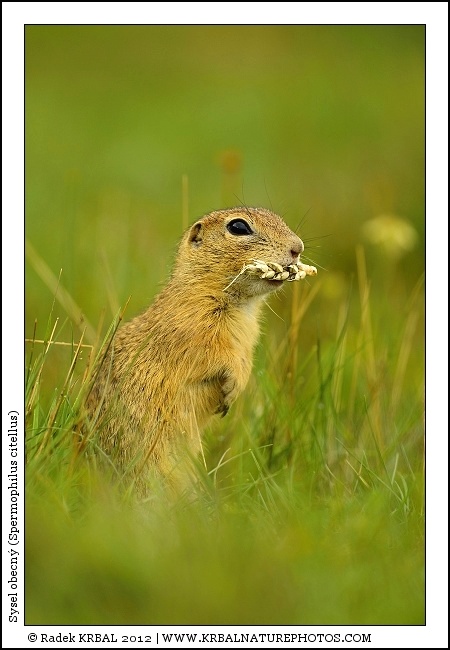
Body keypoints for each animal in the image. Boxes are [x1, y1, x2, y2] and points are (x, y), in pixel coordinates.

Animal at [84, 207, 316, 489]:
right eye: (238, 227)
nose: (298, 247)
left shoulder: (247, 341)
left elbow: (245, 360)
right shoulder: (194, 331)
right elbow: (217, 357)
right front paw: (232, 386)